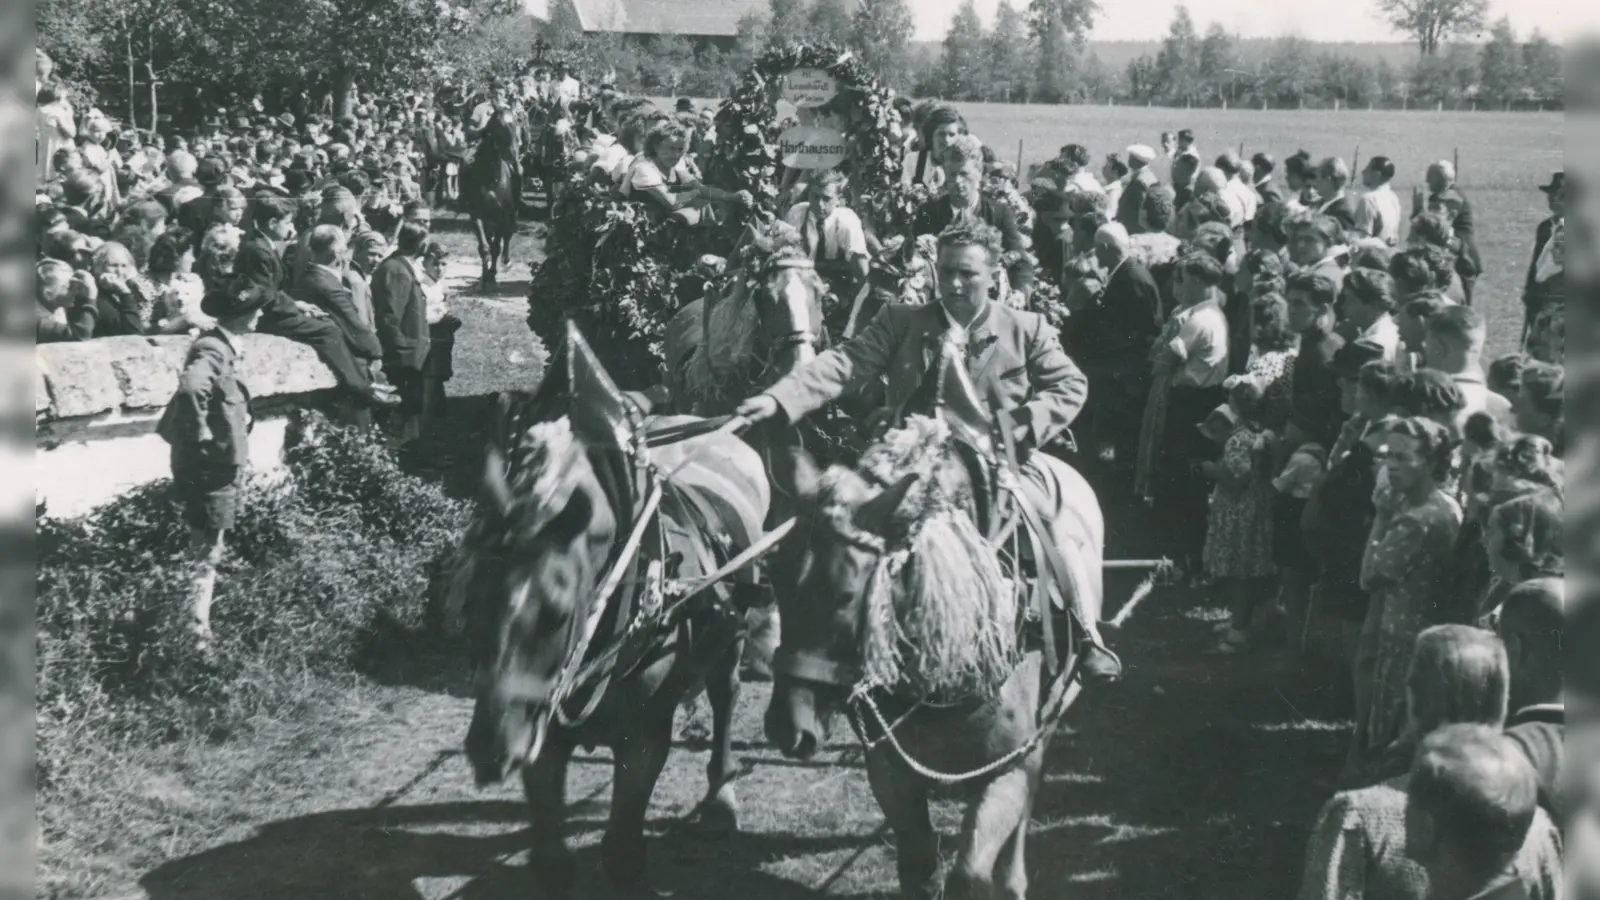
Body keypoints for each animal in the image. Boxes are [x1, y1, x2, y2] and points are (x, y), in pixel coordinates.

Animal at [457, 323, 787, 896]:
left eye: (556, 613)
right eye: (471, 603)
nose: (491, 750)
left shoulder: (643, 738)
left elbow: (621, 854)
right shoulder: (541, 732)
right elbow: (551, 860)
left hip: (732, 632)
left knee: (725, 694)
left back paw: (720, 797)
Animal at [764, 337, 1113, 896]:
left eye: (846, 595)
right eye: (775, 581)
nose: (786, 728)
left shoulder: (1005, 769)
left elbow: (972, 869)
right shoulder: (890, 771)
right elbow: (919, 865)